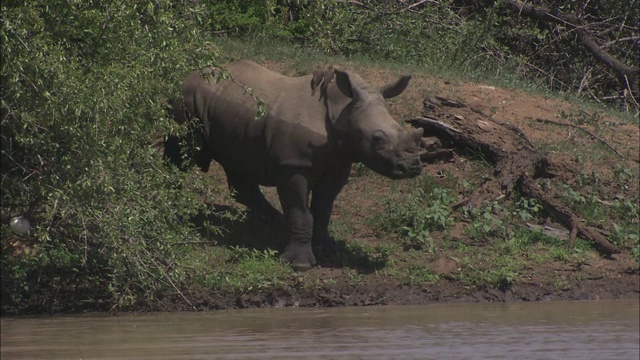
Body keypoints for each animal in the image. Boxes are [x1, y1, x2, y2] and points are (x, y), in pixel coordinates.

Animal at [175, 60, 424, 270]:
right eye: (377, 139)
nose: (413, 167)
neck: (341, 110)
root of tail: (189, 75)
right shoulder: (293, 166)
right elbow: (301, 213)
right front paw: (299, 264)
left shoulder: (338, 164)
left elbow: (323, 211)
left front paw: (326, 250)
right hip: (185, 100)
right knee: (179, 154)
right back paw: (176, 213)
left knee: (238, 165)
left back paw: (276, 222)